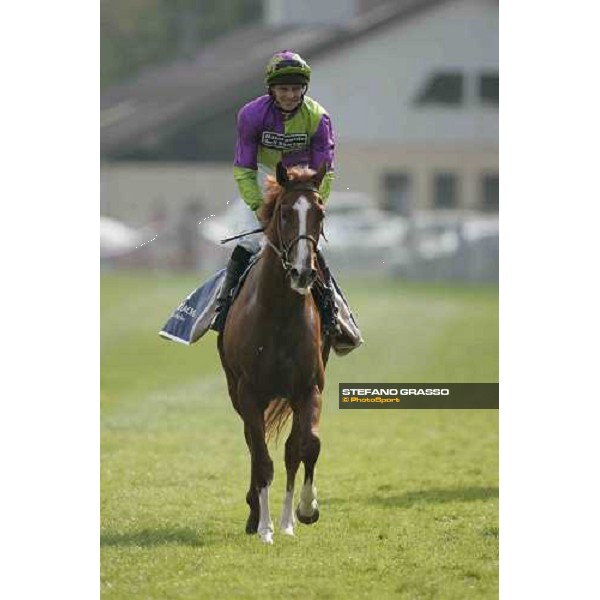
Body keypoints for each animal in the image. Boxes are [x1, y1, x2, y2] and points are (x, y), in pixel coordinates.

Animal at [216, 159, 330, 544]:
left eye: (320, 214)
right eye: (284, 213)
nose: (302, 272)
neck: (279, 314)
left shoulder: (308, 388)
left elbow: (306, 446)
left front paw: (300, 514)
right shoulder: (250, 391)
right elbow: (262, 457)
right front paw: (265, 527)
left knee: (289, 448)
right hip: (236, 390)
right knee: (254, 446)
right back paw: (255, 514)